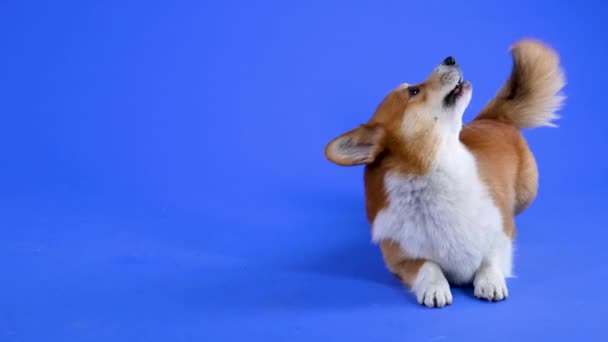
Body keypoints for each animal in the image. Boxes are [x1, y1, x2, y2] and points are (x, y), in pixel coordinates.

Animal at [324, 39, 564, 308]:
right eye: (414, 91)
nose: (450, 58)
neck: (436, 170)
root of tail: (491, 119)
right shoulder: (400, 258)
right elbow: (428, 266)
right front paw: (435, 287)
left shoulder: (502, 233)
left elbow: (490, 258)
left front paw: (490, 281)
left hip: (527, 192)